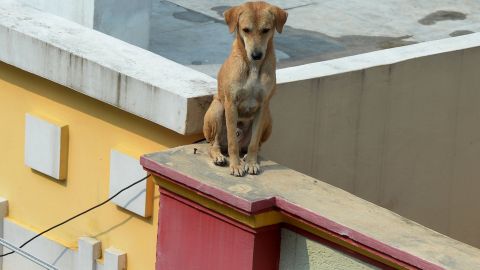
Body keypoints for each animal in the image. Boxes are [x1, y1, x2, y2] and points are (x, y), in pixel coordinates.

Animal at [203, 1, 286, 177]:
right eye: (246, 29)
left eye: (266, 30)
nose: (256, 55)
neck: (253, 66)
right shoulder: (231, 103)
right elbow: (232, 143)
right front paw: (235, 166)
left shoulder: (263, 106)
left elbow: (254, 143)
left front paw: (251, 163)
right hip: (217, 109)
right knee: (214, 144)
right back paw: (219, 156)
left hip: (268, 117)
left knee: (255, 145)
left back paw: (248, 157)